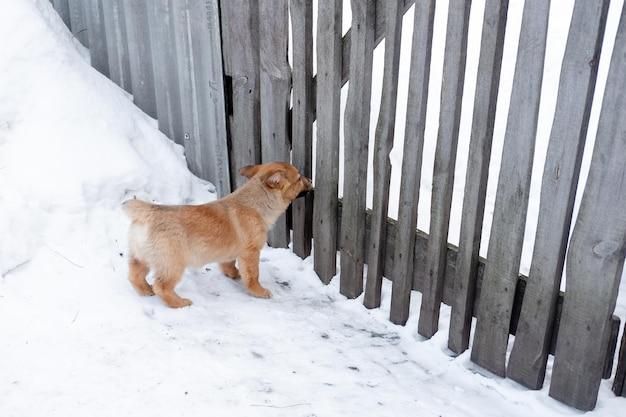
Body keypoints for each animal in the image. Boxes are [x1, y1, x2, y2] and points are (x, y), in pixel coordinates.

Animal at [123, 161, 312, 308]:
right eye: (299, 178)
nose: (310, 180)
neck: (256, 203)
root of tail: (149, 212)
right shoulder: (251, 253)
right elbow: (253, 276)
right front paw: (259, 291)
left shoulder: (230, 252)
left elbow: (229, 264)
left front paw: (234, 274)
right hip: (172, 264)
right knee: (161, 286)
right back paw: (179, 303)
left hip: (140, 258)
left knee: (134, 276)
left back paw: (146, 291)